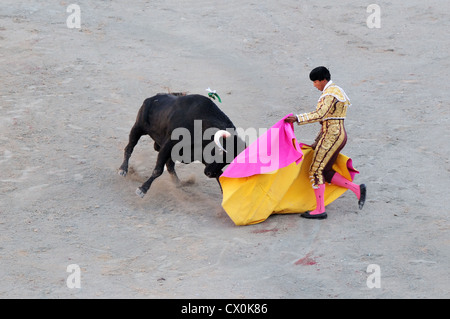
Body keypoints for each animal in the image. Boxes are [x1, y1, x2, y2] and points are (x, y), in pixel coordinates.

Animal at [118, 93, 246, 198]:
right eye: (221, 151)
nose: (210, 174)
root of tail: (152, 98)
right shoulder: (168, 145)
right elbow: (158, 170)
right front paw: (142, 189)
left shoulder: (201, 156)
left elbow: (220, 175)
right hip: (137, 128)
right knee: (129, 148)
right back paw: (123, 170)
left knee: (170, 165)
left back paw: (179, 184)